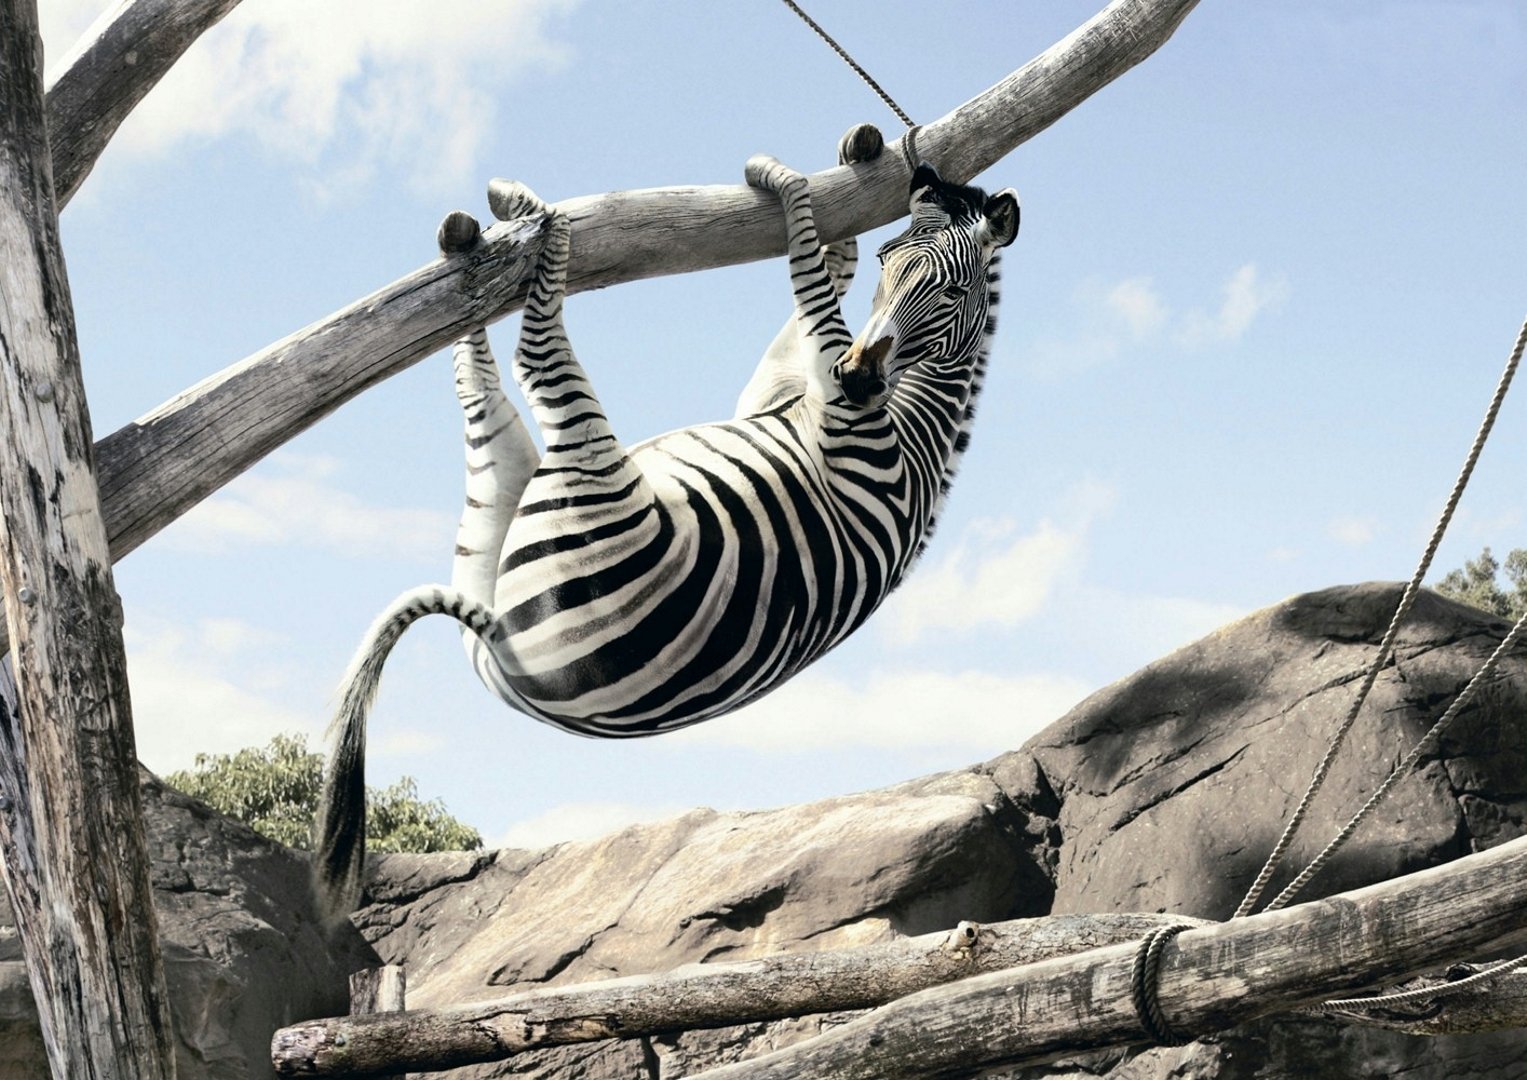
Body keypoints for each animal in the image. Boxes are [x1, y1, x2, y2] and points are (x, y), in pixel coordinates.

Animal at [315, 123, 1019, 918]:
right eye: (889, 260)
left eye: (952, 289)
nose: (859, 375)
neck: (913, 423)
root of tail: (503, 648)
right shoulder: (780, 390)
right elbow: (817, 281)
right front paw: (841, 166)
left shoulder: (841, 418)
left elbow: (808, 280)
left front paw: (779, 179)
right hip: (491, 514)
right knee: (478, 383)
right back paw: (471, 252)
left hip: (582, 474)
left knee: (535, 354)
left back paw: (534, 219)